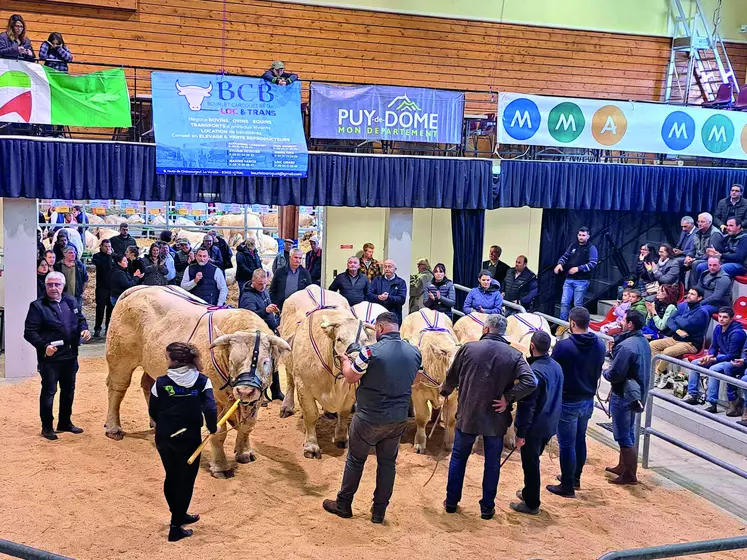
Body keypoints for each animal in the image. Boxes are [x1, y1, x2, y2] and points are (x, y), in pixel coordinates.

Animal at [103, 288, 290, 476]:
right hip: (120, 357)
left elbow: (248, 425)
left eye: (265, 362)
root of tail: (140, 289)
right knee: (117, 389)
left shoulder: (257, 398)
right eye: (232, 361)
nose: (245, 391)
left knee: (148, 384)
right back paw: (113, 428)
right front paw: (220, 466)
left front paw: (244, 452)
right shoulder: (214, 399)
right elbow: (218, 432)